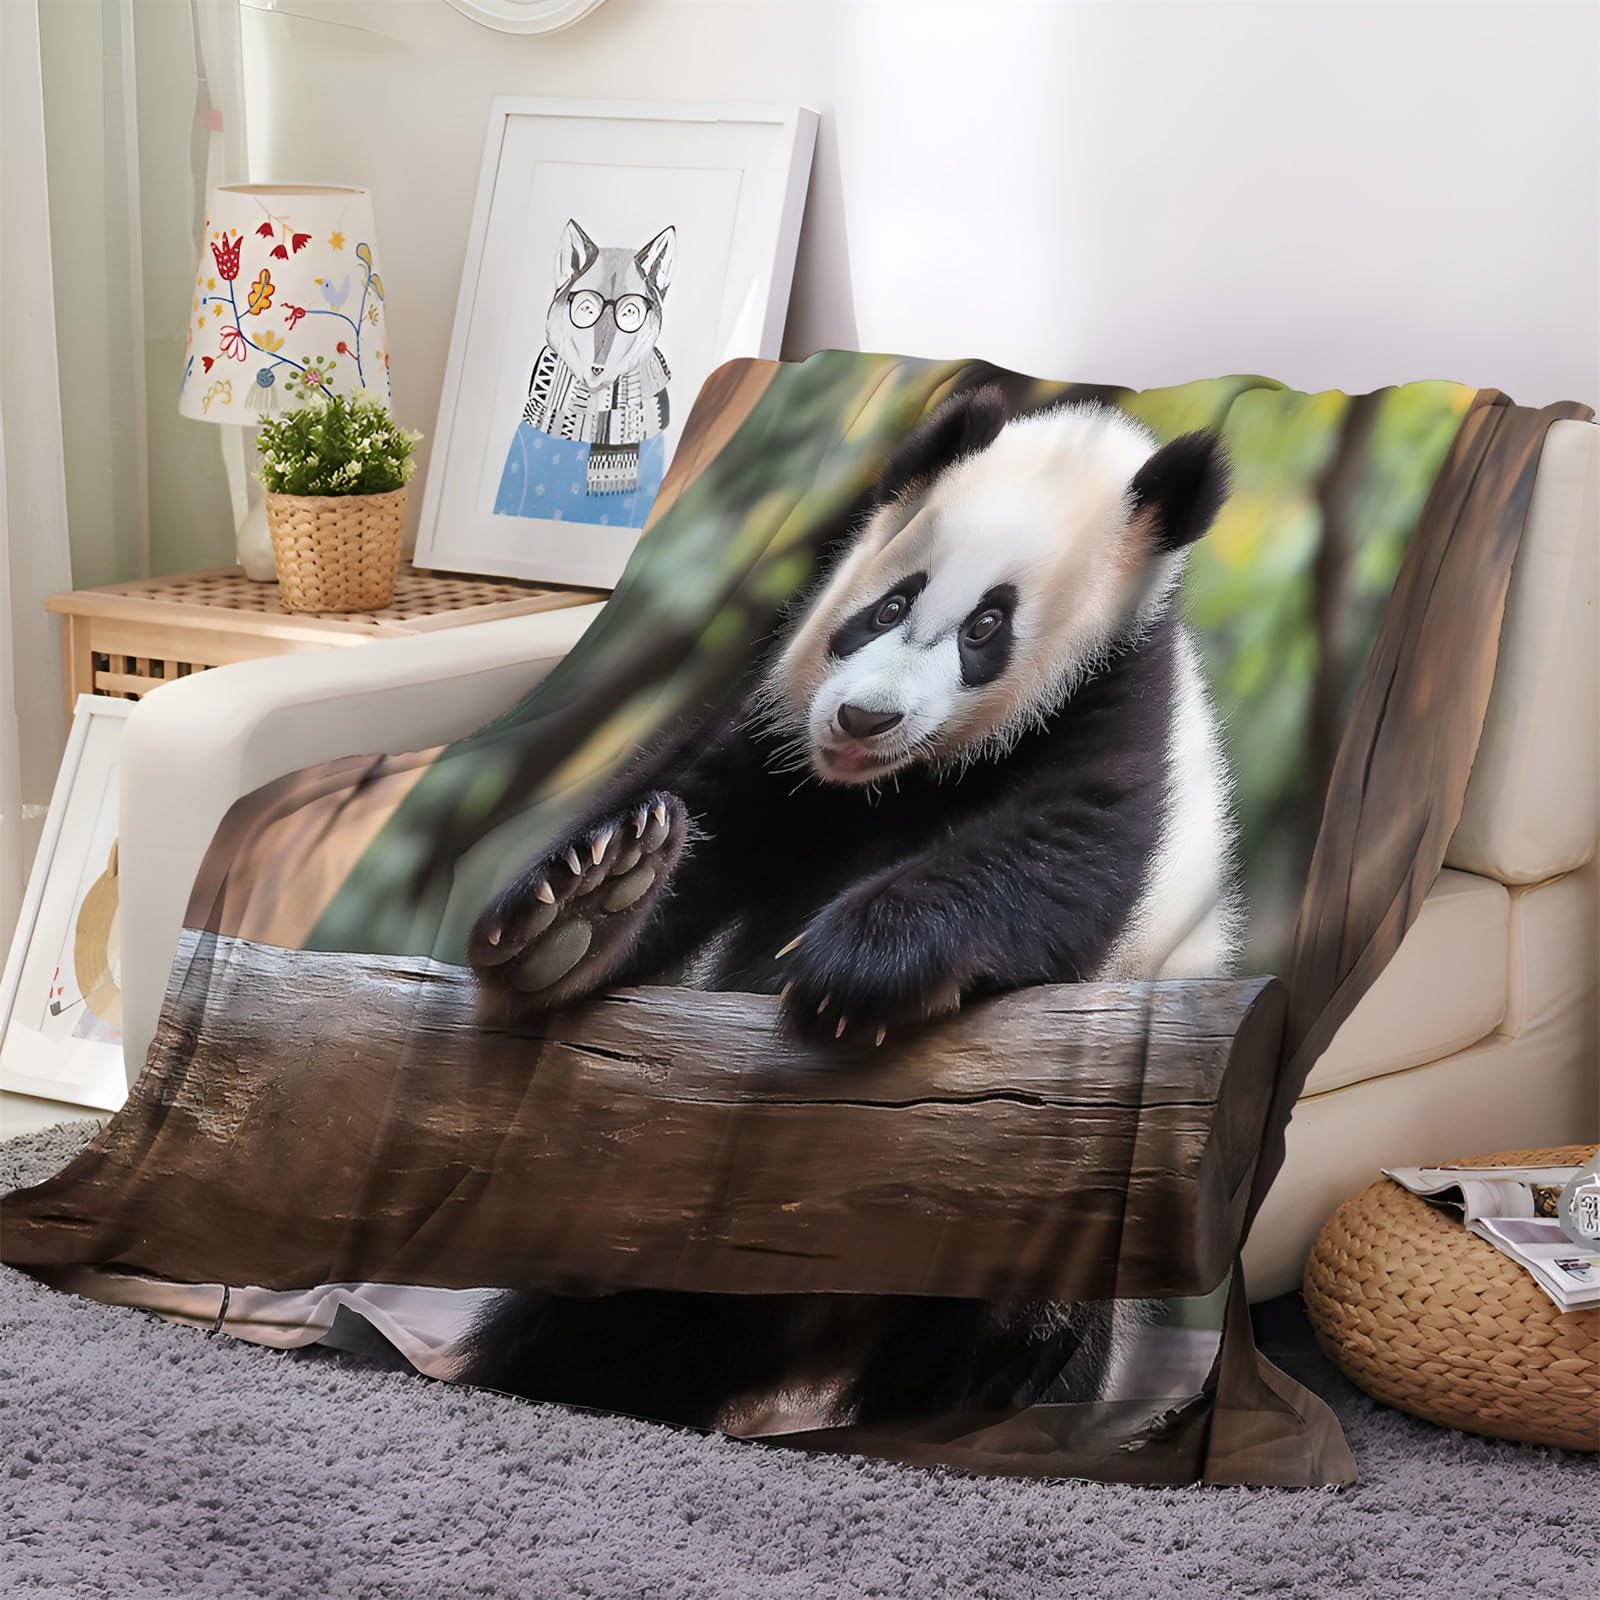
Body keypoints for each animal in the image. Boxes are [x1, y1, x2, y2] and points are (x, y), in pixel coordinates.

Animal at [458, 384, 1242, 1429]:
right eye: (891, 604)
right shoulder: (788, 725)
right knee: (592, 1345)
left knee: (1001, 1360)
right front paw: (579, 910)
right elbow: (708, 804)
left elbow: (1059, 851)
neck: (909, 780)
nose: (865, 719)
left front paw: (853, 970)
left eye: (986, 628)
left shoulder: (1119, 703)